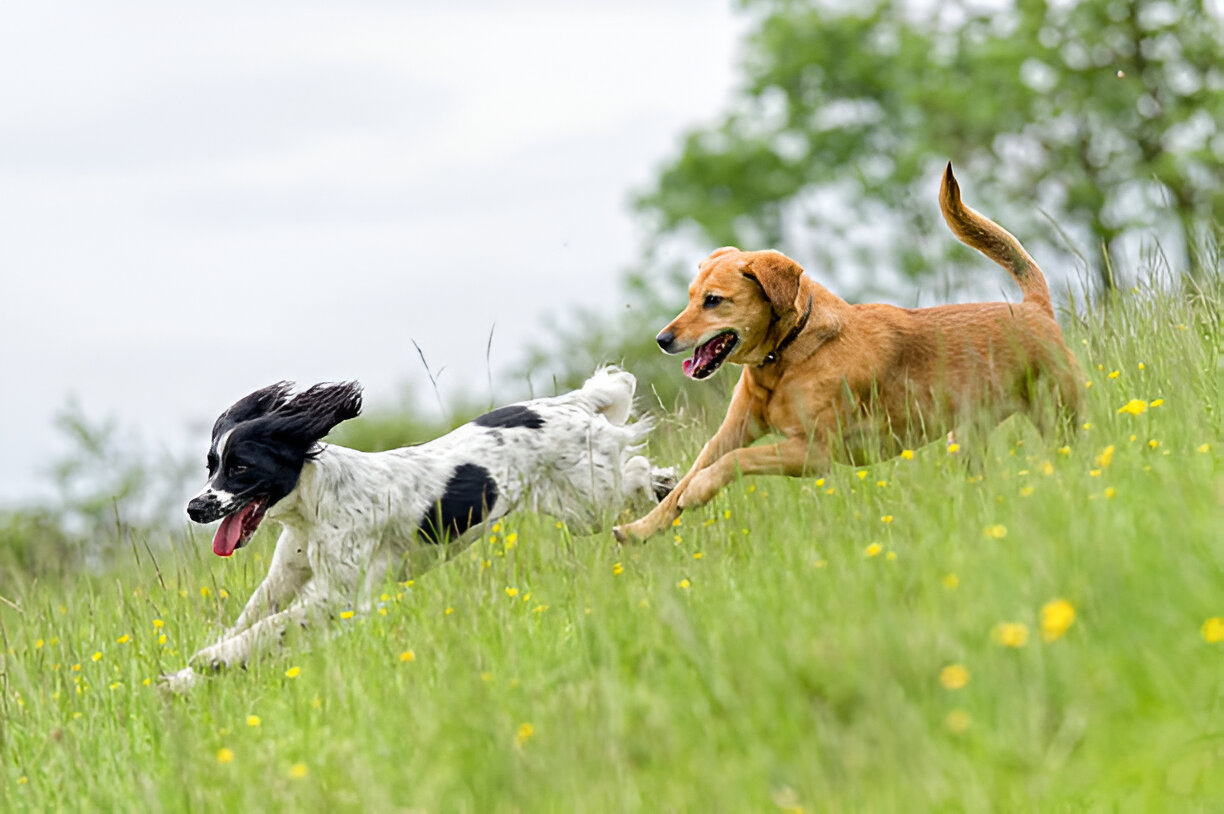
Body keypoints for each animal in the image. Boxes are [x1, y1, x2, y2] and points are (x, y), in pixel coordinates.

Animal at [162, 364, 670, 690]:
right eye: (211, 466)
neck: (313, 506)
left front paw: (211, 660)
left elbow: (268, 629)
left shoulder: (340, 596)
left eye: (241, 468)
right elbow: (252, 619)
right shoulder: (287, 577)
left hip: (588, 504)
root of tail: (574, 403)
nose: (194, 507)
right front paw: (182, 679)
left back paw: (661, 489)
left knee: (635, 470)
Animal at [612, 162, 1082, 538]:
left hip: (1060, 415)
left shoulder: (812, 452)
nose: (662, 339)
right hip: (966, 438)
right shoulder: (732, 430)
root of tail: (1035, 307)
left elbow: (732, 463)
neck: (784, 356)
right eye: (691, 296)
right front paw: (640, 529)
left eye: (713, 300)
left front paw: (697, 492)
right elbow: (694, 471)